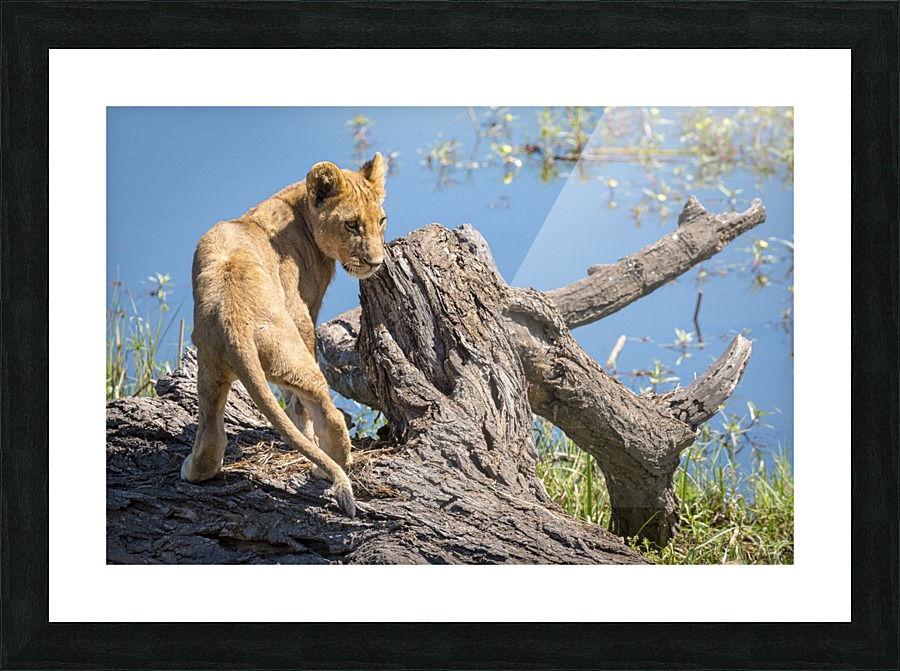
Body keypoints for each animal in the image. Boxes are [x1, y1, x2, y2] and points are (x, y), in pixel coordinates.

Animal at [181, 152, 388, 518]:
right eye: (352, 225)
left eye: (381, 221)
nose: (376, 262)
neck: (297, 209)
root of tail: (233, 321)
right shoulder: (303, 311)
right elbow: (299, 404)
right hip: (293, 352)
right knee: (330, 416)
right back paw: (327, 466)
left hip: (211, 365)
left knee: (212, 435)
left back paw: (193, 468)